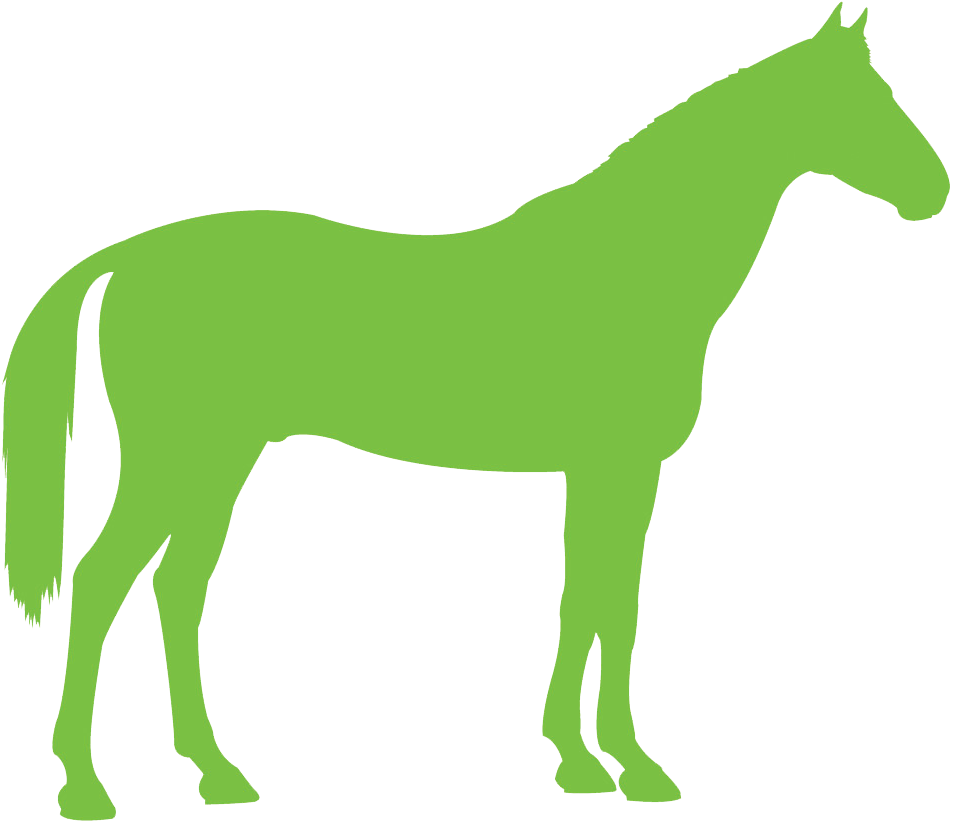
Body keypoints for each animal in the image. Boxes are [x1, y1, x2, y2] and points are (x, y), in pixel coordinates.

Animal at [3, 4, 947, 816]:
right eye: (861, 102)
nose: (934, 192)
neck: (635, 262)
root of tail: (129, 255)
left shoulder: (597, 473)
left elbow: (584, 595)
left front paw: (578, 758)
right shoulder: (620, 466)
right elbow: (616, 602)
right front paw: (630, 766)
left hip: (219, 464)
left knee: (177, 587)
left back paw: (217, 772)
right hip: (177, 461)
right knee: (104, 581)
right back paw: (86, 786)